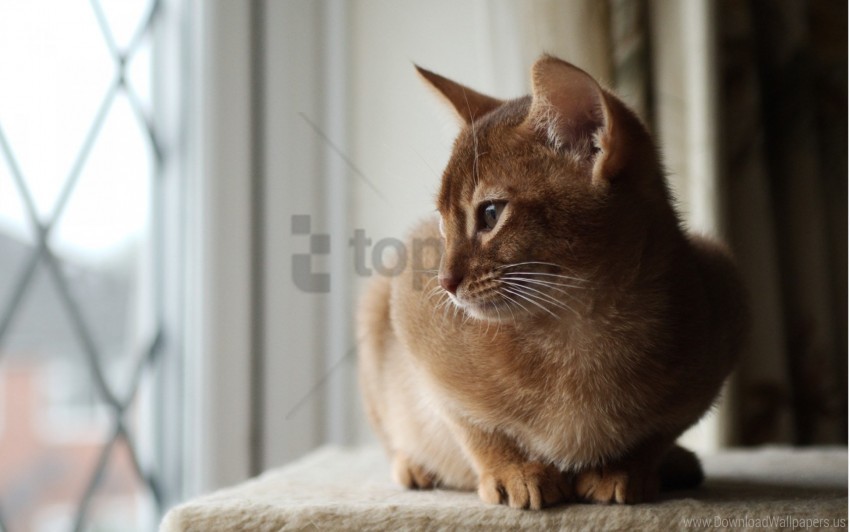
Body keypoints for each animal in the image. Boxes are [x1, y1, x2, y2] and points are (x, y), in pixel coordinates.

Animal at [354, 55, 744, 512]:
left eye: (490, 214)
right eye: (441, 224)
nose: (445, 282)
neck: (579, 333)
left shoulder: (724, 303)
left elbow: (658, 433)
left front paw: (625, 469)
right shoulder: (413, 326)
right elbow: (473, 426)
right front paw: (514, 471)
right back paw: (413, 466)